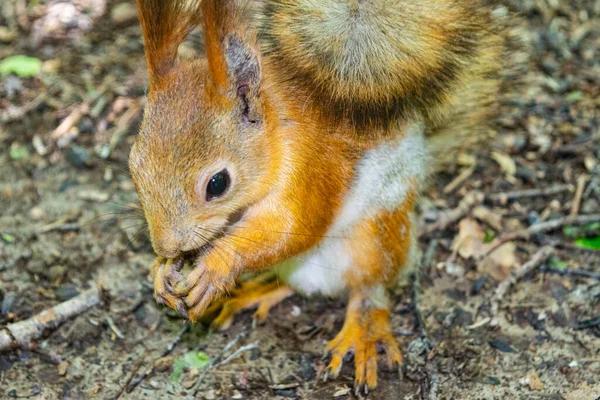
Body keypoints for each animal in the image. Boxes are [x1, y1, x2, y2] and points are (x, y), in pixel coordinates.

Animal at [130, 0, 524, 394]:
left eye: (217, 184)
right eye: (133, 166)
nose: (164, 246)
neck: (276, 134)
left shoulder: (309, 168)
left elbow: (294, 229)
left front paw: (215, 266)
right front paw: (162, 269)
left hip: (375, 238)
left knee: (370, 290)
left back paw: (362, 332)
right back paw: (252, 292)